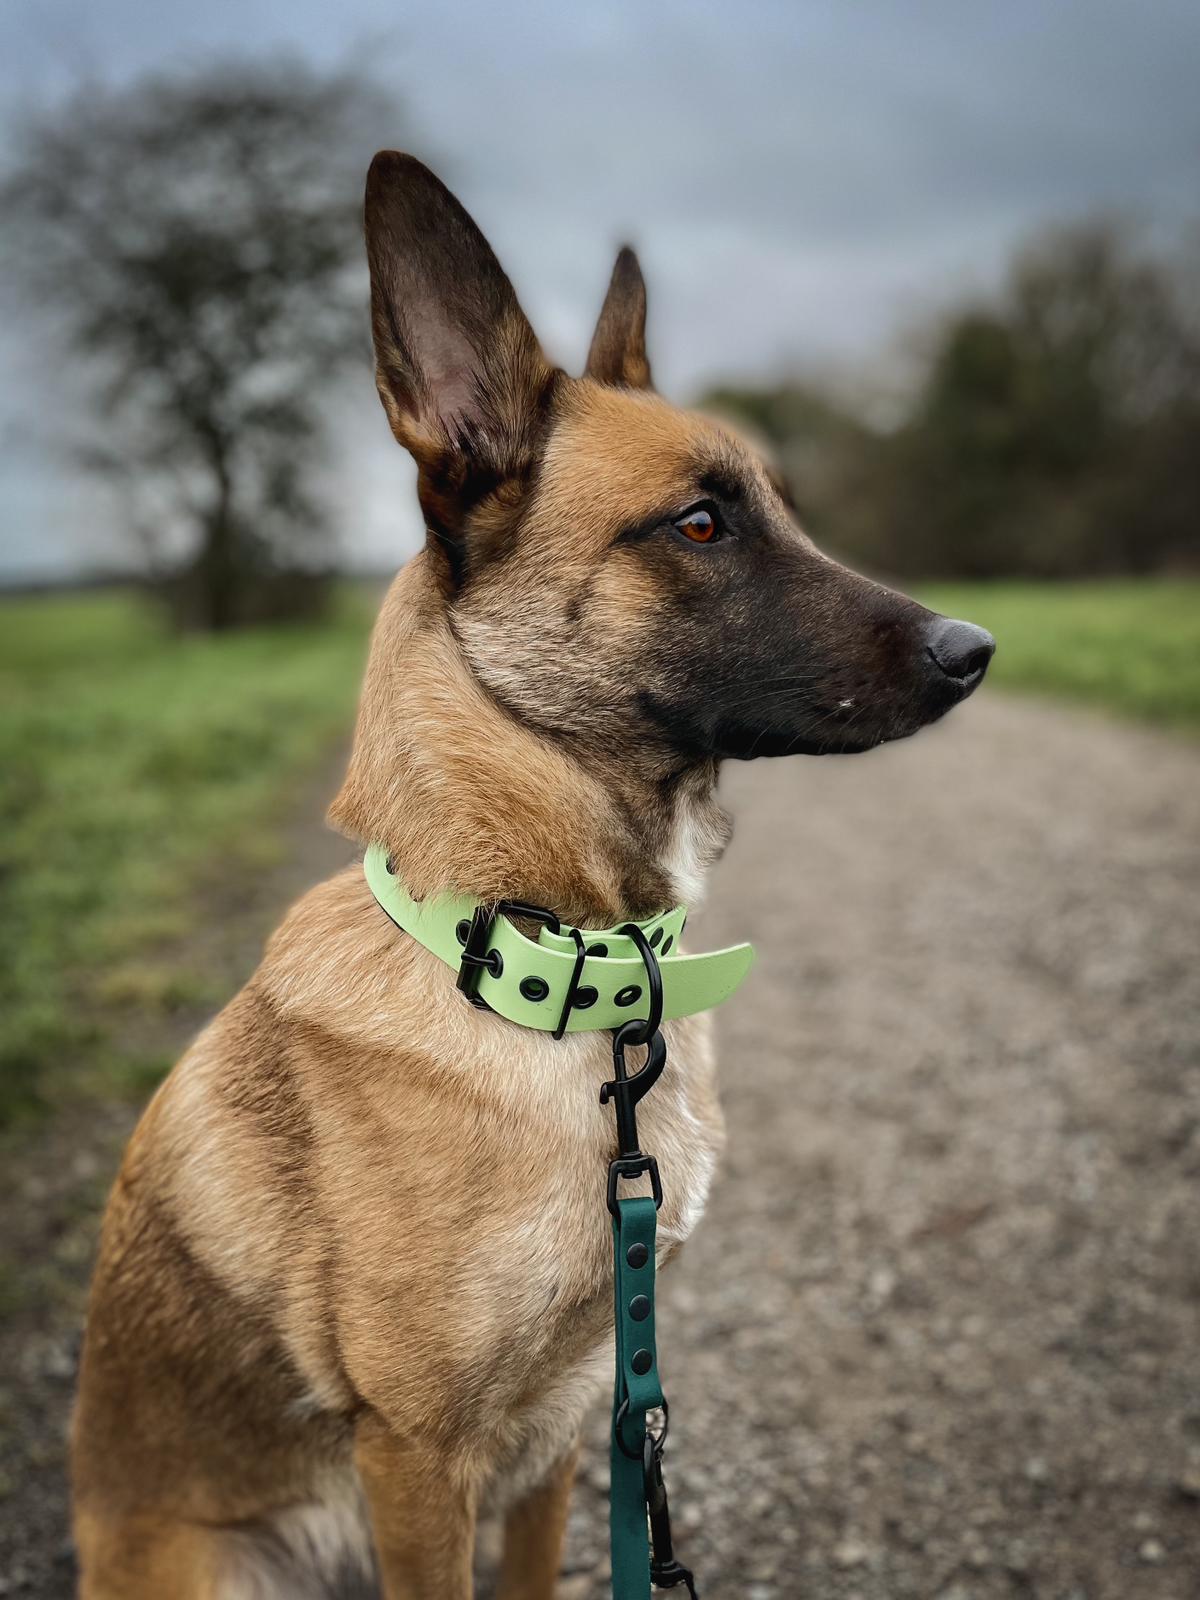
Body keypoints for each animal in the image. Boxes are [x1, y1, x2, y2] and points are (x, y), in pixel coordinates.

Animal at [72, 152, 998, 1600]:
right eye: (700, 523)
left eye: (781, 510)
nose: (977, 650)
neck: (544, 954)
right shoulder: (417, 1459)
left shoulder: (578, 1423)